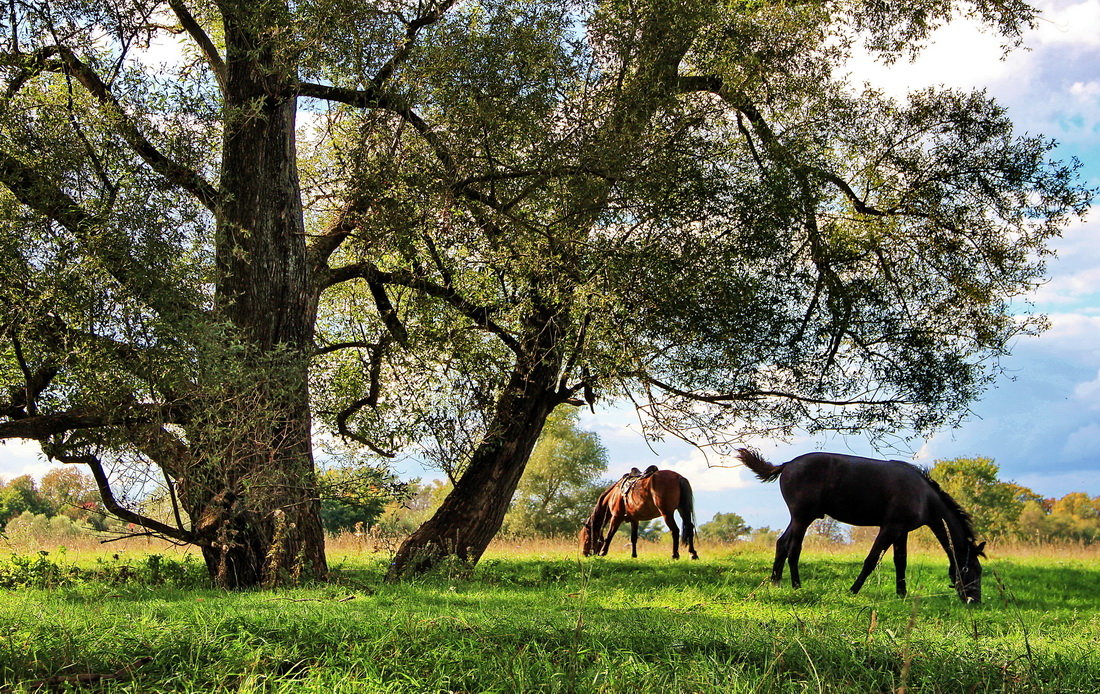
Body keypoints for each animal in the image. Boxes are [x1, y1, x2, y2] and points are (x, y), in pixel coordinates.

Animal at [739, 450, 990, 602]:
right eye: (973, 570)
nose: (974, 600)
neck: (924, 496)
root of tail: (787, 465)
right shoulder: (889, 528)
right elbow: (871, 560)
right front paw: (853, 590)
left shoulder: (901, 531)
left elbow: (901, 562)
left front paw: (901, 594)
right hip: (803, 518)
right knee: (793, 549)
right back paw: (796, 585)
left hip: (799, 518)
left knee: (781, 544)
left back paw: (776, 582)